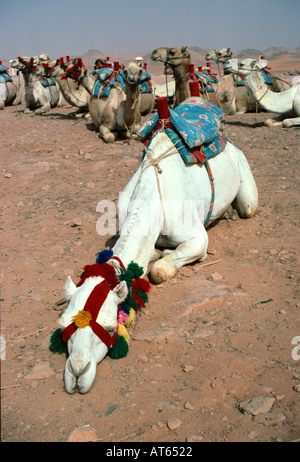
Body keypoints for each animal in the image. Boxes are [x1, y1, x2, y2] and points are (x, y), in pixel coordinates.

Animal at [52, 97, 258, 394]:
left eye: (110, 327)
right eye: (63, 325)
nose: (78, 373)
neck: (152, 201)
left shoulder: (197, 237)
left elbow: (160, 270)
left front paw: (165, 257)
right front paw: (156, 251)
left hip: (245, 179)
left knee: (248, 207)